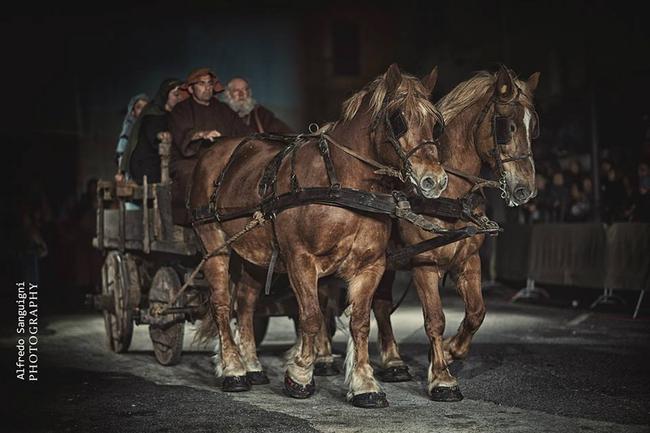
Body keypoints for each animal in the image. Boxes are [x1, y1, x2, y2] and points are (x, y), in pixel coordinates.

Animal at [189, 62, 446, 406]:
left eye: (435, 124)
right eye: (398, 120)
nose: (435, 180)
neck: (341, 184)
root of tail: (213, 150)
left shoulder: (371, 264)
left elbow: (360, 321)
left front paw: (365, 384)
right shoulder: (300, 259)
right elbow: (310, 316)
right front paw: (299, 375)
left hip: (254, 256)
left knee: (244, 305)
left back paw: (252, 365)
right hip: (215, 244)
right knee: (220, 304)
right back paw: (233, 370)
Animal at [368, 66, 540, 400]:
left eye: (533, 127)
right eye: (505, 126)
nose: (524, 189)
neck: (450, 198)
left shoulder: (468, 261)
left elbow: (476, 312)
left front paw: (450, 352)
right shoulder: (424, 264)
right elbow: (435, 318)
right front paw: (441, 378)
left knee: (380, 304)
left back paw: (394, 362)